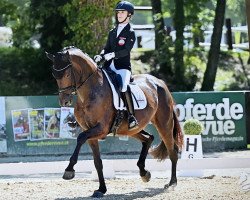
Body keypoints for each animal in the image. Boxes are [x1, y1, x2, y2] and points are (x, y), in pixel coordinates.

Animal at [46, 46, 184, 198]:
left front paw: (69, 170)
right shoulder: (91, 134)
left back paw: (172, 183)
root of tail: (160, 82)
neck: (91, 91)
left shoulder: (101, 129)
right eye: (54, 75)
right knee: (148, 138)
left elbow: (80, 138)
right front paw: (101, 189)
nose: (64, 102)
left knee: (172, 151)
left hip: (164, 124)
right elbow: (97, 162)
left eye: (66, 75)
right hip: (130, 129)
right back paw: (144, 173)